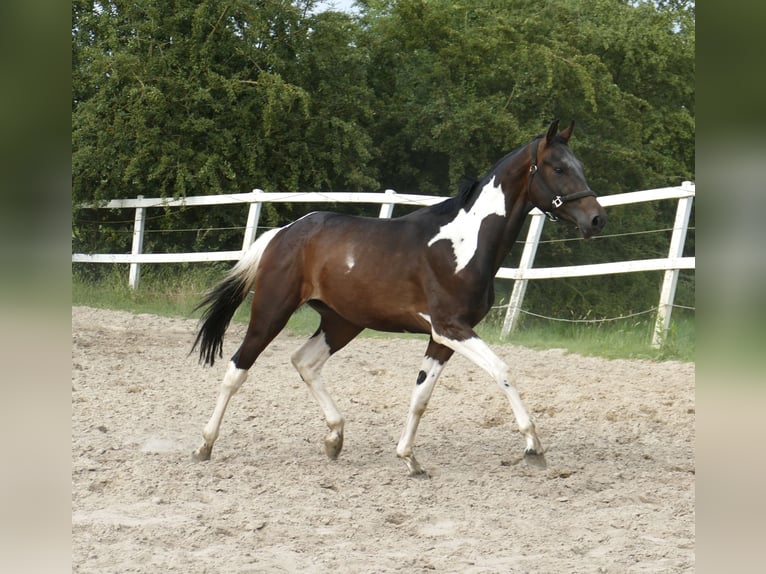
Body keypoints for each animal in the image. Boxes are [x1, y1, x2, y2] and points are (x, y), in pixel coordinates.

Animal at [191, 119, 607, 476]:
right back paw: (204, 446)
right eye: (557, 168)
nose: (597, 219)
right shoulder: (451, 327)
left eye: (580, 166)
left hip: (341, 322)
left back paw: (334, 438)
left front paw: (409, 458)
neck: (466, 243)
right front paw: (534, 449)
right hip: (272, 312)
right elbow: (502, 371)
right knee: (237, 369)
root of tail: (283, 233)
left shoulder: (443, 336)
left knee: (304, 362)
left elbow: (421, 395)